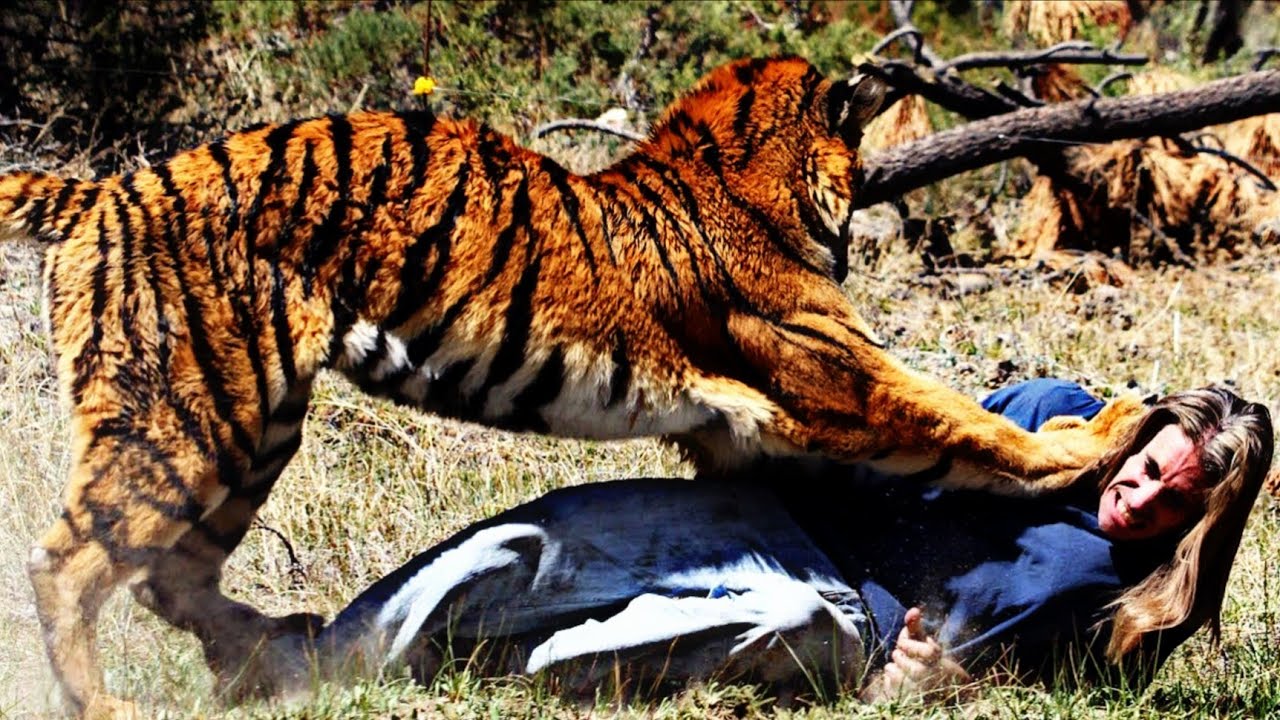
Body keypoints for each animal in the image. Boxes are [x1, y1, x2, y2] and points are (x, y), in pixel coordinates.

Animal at [0, 56, 1143, 718]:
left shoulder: (748, 429)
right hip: (187, 416)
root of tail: (104, 189)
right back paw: (108, 704)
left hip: (251, 426)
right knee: (69, 564)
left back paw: (266, 650)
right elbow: (968, 423)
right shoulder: (838, 376)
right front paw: (1103, 433)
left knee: (167, 574)